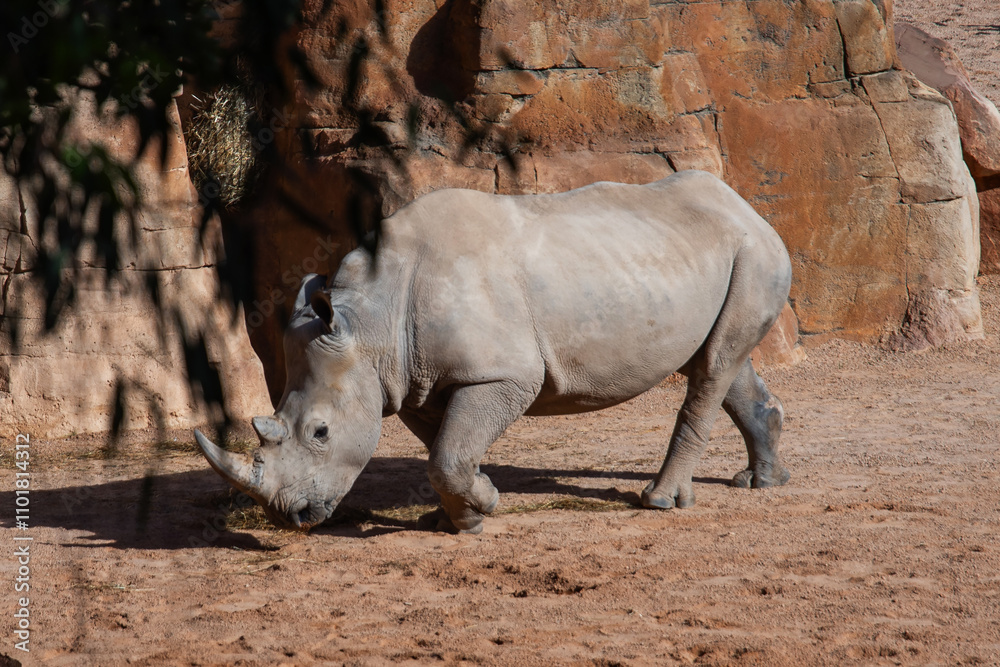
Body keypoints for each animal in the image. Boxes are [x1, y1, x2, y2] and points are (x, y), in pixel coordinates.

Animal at [195, 169, 793, 534]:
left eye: (320, 433)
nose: (290, 517)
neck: (371, 322)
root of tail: (746, 206)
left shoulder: (502, 374)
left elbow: (448, 454)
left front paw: (478, 510)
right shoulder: (411, 381)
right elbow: (446, 447)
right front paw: (456, 517)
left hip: (752, 250)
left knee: (712, 368)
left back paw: (660, 501)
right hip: (705, 256)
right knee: (720, 361)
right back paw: (762, 482)